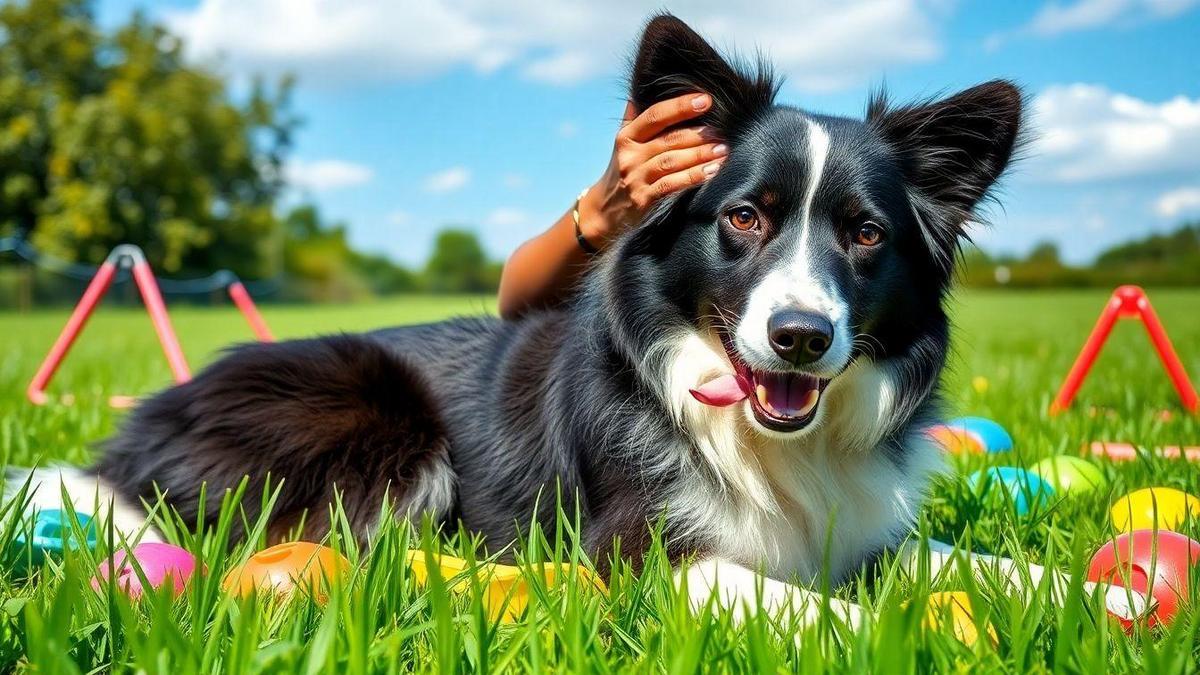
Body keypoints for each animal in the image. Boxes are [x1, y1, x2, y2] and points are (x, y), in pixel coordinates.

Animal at [16, 14, 1142, 624]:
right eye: (744, 217)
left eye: (865, 235)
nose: (800, 338)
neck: (765, 437)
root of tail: (147, 424)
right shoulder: (639, 548)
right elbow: (793, 600)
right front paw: (860, 635)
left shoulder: (863, 525)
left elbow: (971, 561)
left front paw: (1119, 599)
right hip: (380, 420)